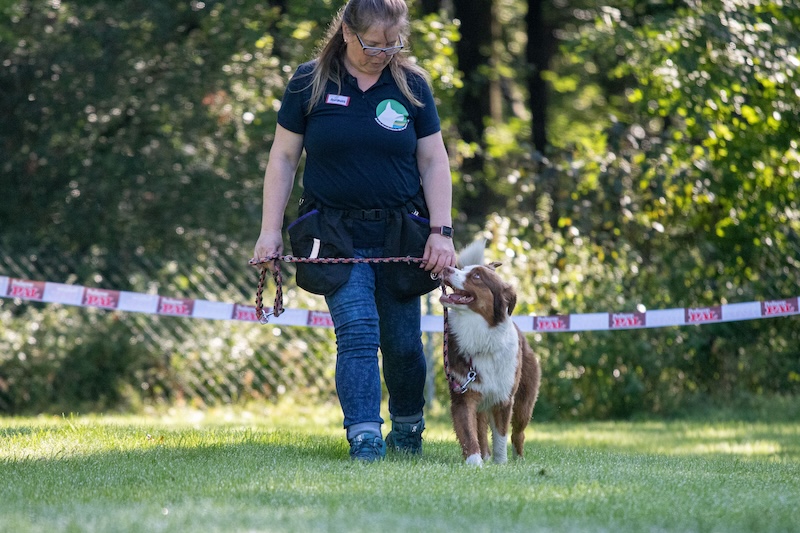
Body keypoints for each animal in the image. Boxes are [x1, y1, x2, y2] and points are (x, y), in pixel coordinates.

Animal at [440, 241, 540, 466]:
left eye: (476, 276)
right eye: (462, 269)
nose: (446, 269)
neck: (480, 335)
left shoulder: (504, 398)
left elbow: (501, 436)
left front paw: (500, 463)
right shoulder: (464, 393)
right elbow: (469, 433)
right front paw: (475, 463)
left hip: (525, 401)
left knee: (518, 432)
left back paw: (518, 458)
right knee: (481, 428)